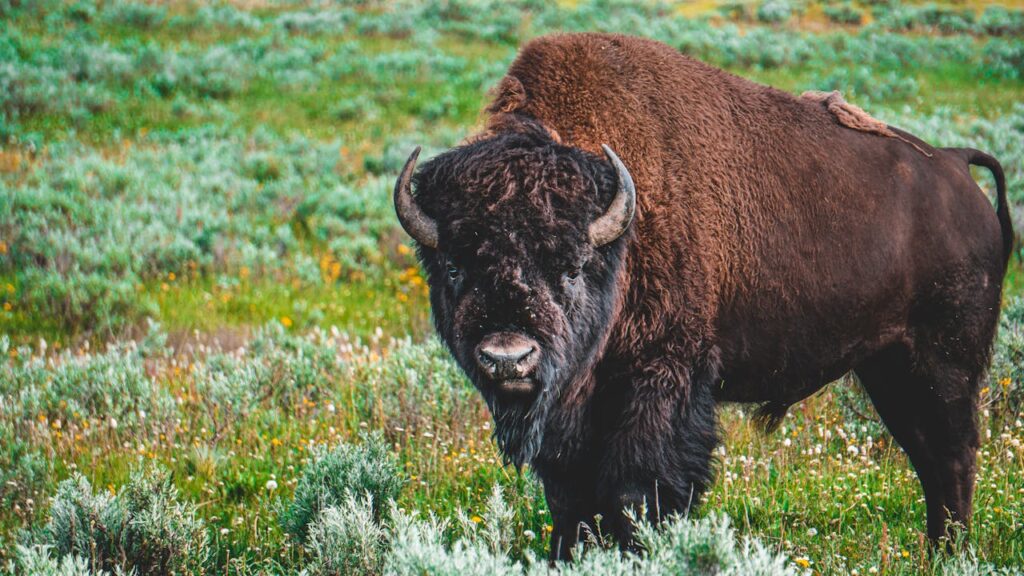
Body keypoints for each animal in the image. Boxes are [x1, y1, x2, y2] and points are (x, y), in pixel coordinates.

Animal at [393, 33, 1013, 558]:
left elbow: (637, 492)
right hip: (887, 367)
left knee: (952, 454)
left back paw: (950, 553)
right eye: (454, 266)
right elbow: (570, 499)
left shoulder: (662, 380)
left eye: (570, 268)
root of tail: (956, 167)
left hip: (943, 362)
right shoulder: (571, 416)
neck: (621, 236)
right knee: (929, 454)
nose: (508, 357)